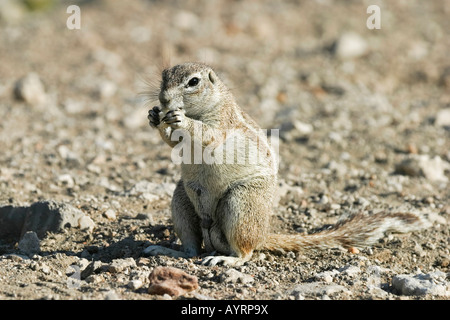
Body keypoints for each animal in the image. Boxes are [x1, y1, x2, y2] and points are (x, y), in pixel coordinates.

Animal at [145, 61, 428, 266]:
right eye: (164, 75)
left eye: (193, 82)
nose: (164, 100)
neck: (204, 106)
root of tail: (263, 235)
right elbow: (172, 142)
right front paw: (154, 117)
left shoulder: (222, 123)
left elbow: (208, 134)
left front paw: (182, 120)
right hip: (181, 200)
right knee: (192, 248)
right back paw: (169, 251)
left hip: (242, 202)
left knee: (245, 251)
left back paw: (227, 260)